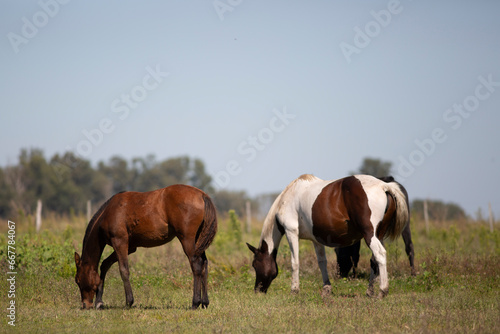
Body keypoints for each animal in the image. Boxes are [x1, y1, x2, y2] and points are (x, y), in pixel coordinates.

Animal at [73, 184, 217, 310]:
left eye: (78, 280)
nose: (85, 305)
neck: (108, 213)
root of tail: (202, 195)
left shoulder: (120, 242)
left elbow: (123, 270)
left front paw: (129, 302)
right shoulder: (130, 247)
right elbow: (104, 265)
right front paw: (99, 302)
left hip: (187, 240)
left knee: (196, 265)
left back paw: (195, 303)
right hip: (199, 241)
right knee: (204, 264)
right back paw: (205, 302)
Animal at [247, 175, 410, 298]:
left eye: (255, 265)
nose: (257, 290)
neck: (288, 197)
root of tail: (384, 186)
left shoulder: (291, 232)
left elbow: (295, 262)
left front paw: (294, 290)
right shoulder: (316, 240)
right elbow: (322, 262)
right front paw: (326, 289)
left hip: (369, 234)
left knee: (380, 254)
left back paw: (383, 291)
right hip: (379, 234)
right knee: (374, 260)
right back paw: (370, 291)